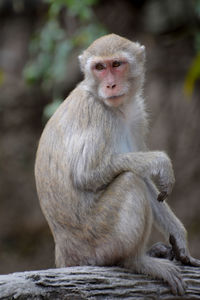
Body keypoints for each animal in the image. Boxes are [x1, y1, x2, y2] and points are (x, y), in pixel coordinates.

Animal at [34, 34, 200, 294]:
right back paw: (137, 260)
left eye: (116, 64)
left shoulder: (138, 115)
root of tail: (64, 254)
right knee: (130, 180)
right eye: (100, 68)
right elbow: (86, 174)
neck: (117, 108)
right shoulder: (95, 113)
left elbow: (147, 179)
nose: (110, 85)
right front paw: (161, 162)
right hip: (98, 241)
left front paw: (180, 238)